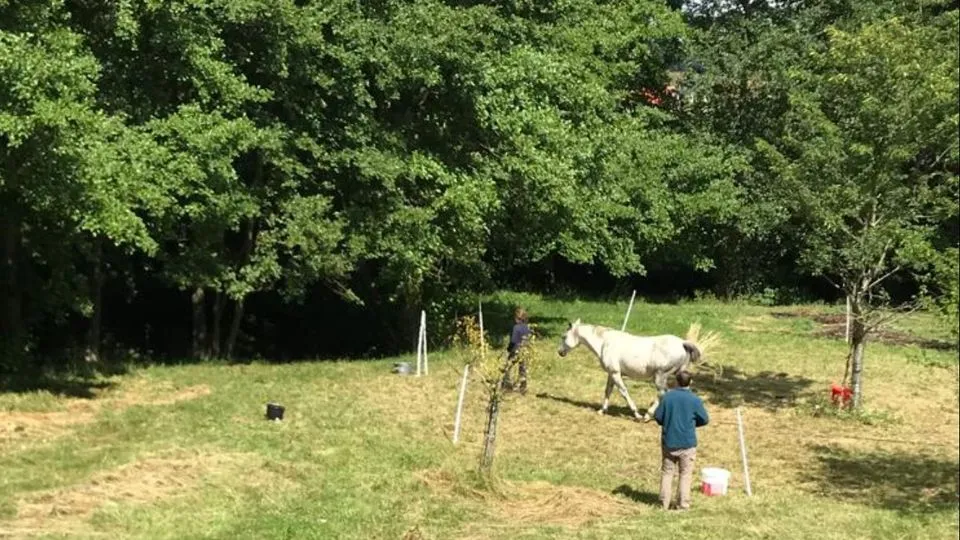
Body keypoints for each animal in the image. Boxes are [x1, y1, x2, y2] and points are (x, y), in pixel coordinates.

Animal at [564, 320, 704, 422]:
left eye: (563, 336)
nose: (560, 352)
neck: (605, 343)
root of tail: (682, 343)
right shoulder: (611, 374)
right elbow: (608, 391)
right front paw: (602, 411)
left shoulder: (615, 373)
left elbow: (624, 392)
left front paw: (636, 415)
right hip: (677, 375)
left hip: (660, 376)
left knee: (663, 393)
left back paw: (647, 416)